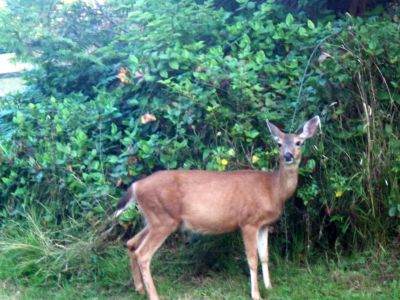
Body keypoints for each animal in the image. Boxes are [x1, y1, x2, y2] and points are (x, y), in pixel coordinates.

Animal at [115, 116, 318, 298]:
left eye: (299, 142)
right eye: (279, 144)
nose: (288, 156)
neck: (273, 190)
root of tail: (137, 185)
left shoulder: (264, 224)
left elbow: (264, 256)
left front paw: (269, 287)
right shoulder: (248, 222)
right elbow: (252, 260)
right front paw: (256, 294)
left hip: (155, 219)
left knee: (131, 243)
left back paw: (139, 289)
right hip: (163, 220)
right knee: (143, 254)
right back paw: (154, 295)